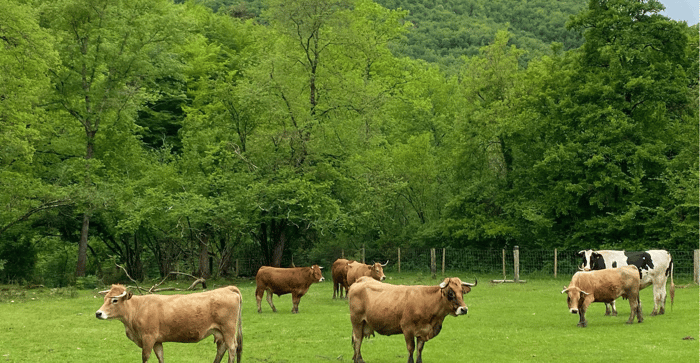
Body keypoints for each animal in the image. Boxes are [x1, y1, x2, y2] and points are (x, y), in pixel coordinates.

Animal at [95, 286, 243, 363]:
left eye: (114, 300)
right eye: (105, 298)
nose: (98, 313)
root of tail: (227, 289)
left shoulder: (148, 338)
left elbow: (145, 357)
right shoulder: (157, 341)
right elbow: (160, 357)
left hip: (228, 329)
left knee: (232, 348)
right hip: (220, 332)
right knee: (222, 348)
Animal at [348, 276, 476, 363]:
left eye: (462, 292)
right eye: (450, 293)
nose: (464, 309)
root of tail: (361, 279)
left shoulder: (422, 332)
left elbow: (419, 350)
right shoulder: (407, 329)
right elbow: (411, 349)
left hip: (364, 324)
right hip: (357, 322)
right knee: (357, 341)